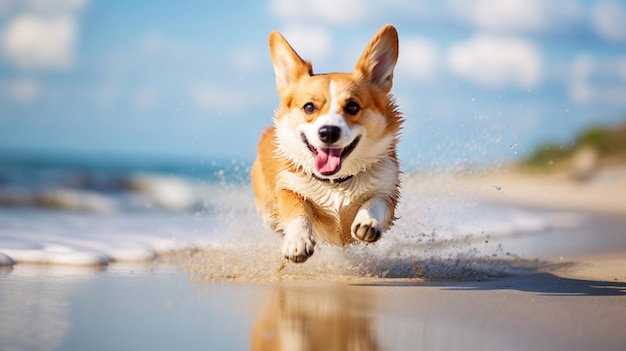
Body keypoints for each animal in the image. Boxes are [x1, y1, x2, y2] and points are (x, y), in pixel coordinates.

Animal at [250, 24, 400, 264]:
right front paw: (297, 241)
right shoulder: (289, 187)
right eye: (309, 107)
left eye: (353, 107)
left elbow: (376, 202)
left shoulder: (388, 189)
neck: (336, 183)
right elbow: (297, 211)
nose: (328, 132)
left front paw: (367, 221)